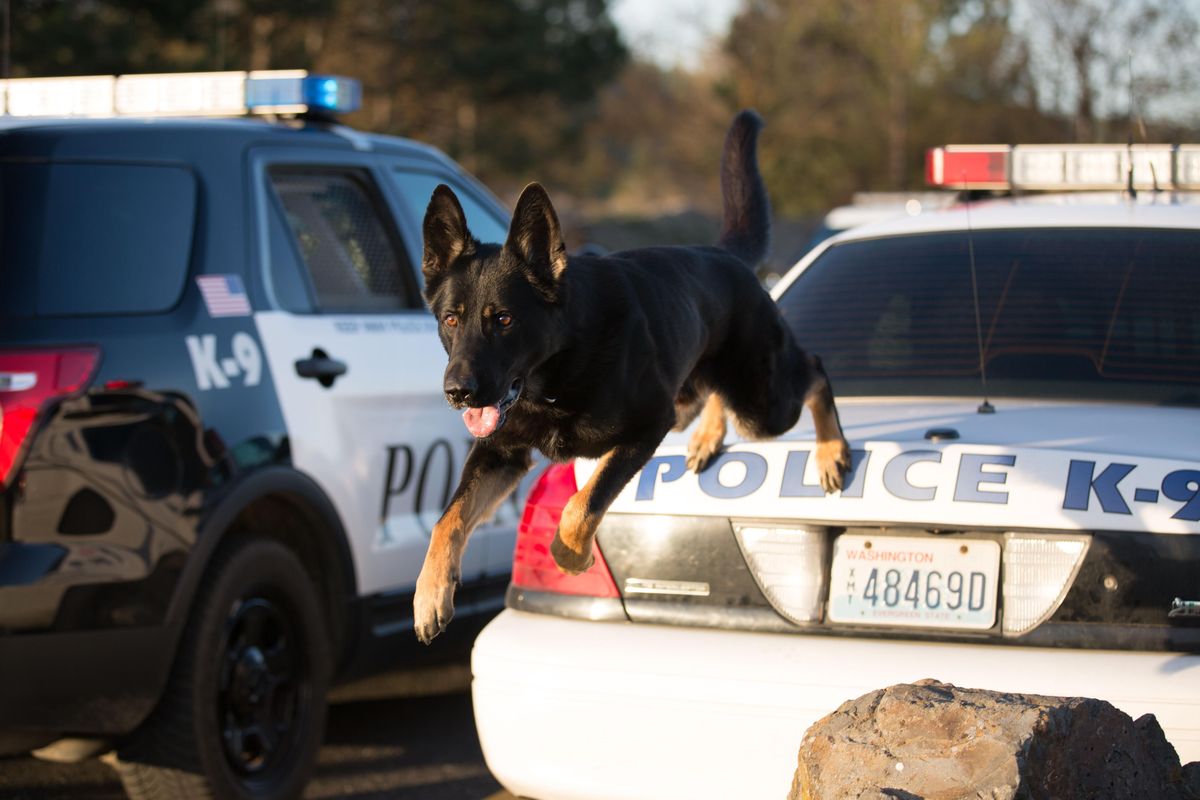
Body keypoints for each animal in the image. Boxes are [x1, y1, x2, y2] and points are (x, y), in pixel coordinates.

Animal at [417, 109, 849, 642]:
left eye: (504, 319)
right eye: (450, 320)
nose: (457, 393)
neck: (556, 372)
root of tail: (724, 255)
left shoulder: (645, 428)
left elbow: (581, 506)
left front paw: (569, 556)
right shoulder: (500, 453)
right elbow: (448, 518)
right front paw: (430, 595)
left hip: (762, 405)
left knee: (814, 371)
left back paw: (830, 448)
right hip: (697, 397)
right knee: (717, 393)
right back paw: (708, 436)